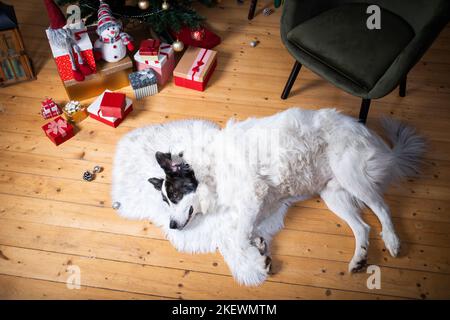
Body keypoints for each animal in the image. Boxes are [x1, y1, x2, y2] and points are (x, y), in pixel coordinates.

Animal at [112, 109, 426, 286]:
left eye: (176, 195)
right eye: (165, 201)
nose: (172, 227)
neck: (210, 169)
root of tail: (368, 133)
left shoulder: (254, 194)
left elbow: (237, 233)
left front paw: (257, 252)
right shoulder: (263, 200)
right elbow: (246, 228)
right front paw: (260, 247)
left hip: (350, 175)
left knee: (382, 207)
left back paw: (393, 240)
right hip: (333, 193)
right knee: (363, 227)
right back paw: (359, 259)